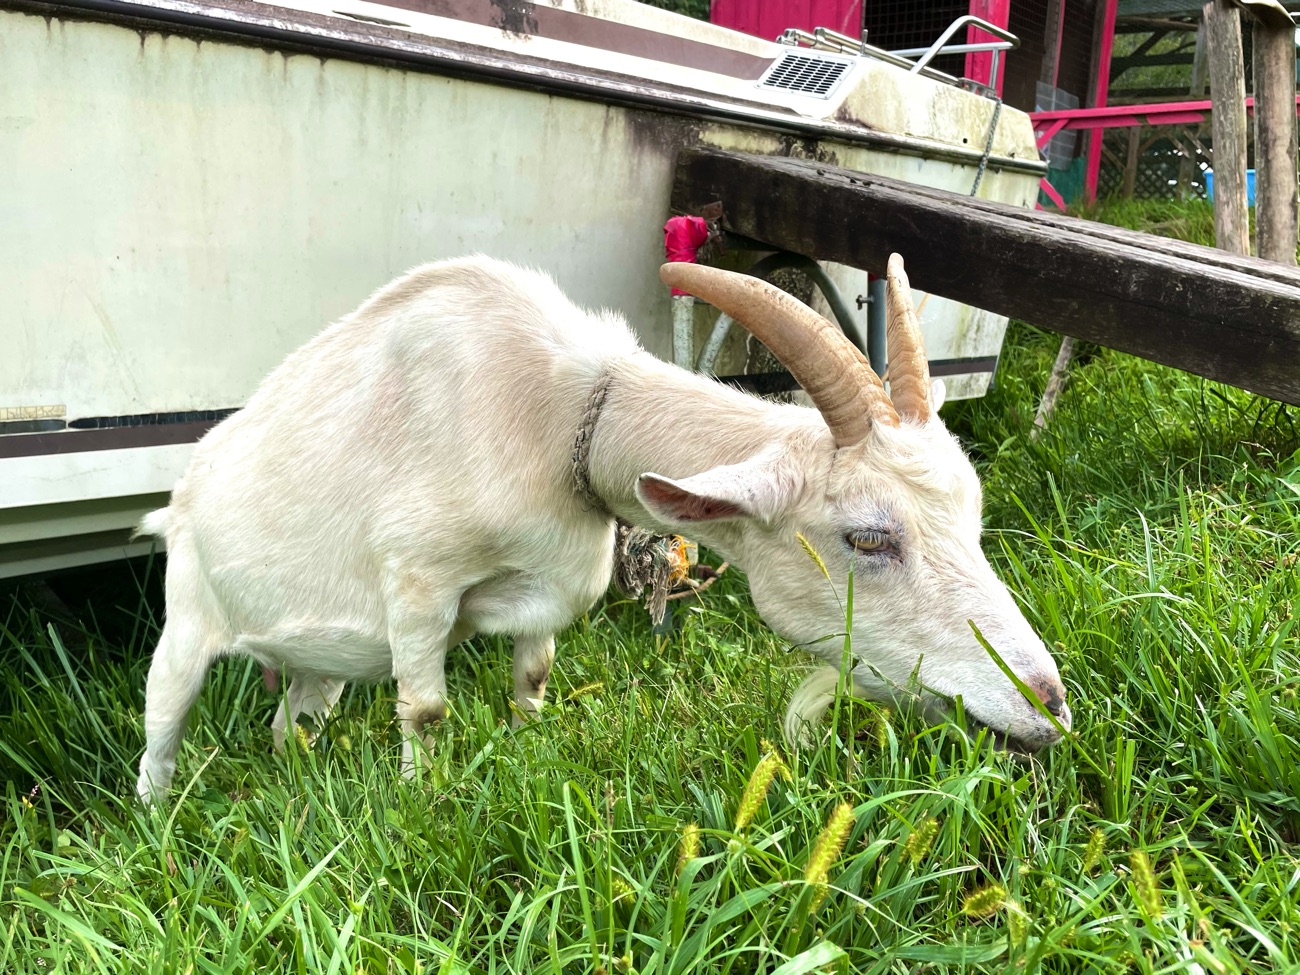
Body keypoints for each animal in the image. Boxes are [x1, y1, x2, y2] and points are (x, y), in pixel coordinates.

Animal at [134, 252, 1066, 800]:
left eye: (973, 516)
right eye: (868, 537)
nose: (1045, 705)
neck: (560, 412)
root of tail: (178, 501)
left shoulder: (545, 592)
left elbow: (534, 676)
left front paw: (522, 749)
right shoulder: (418, 579)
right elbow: (424, 708)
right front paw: (421, 802)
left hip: (313, 659)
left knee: (294, 713)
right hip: (186, 617)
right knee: (161, 724)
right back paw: (160, 820)